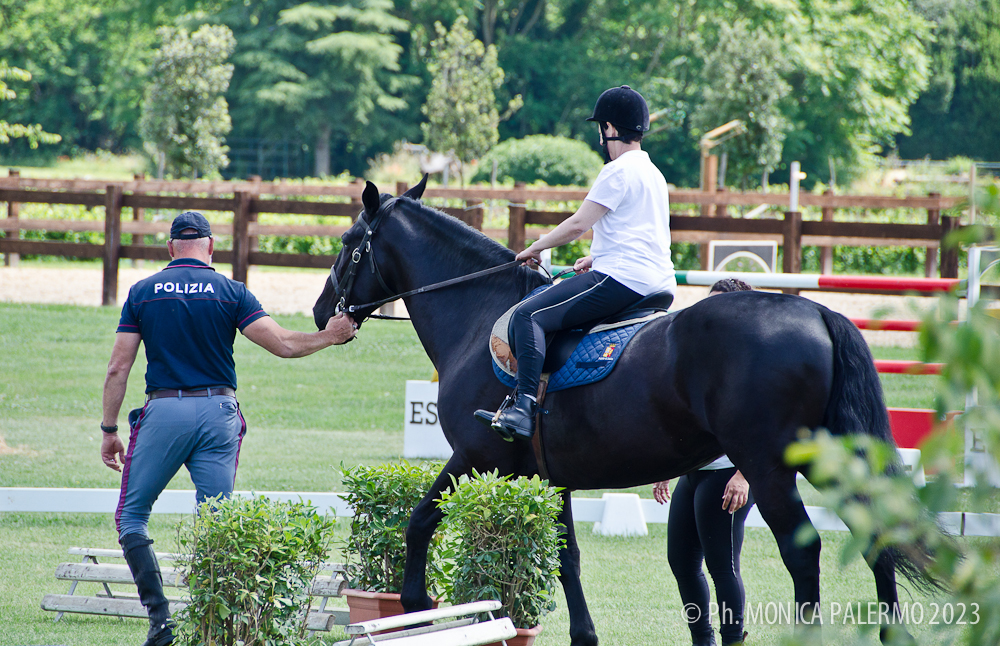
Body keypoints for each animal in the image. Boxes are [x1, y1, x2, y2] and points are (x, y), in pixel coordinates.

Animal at [313, 178, 937, 646]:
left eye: (348, 241)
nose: (322, 313)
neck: (477, 311)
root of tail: (816, 314)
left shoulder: (477, 454)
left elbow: (420, 521)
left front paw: (416, 606)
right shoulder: (547, 476)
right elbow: (567, 557)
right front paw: (584, 637)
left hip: (768, 465)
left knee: (802, 554)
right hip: (830, 458)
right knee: (876, 532)